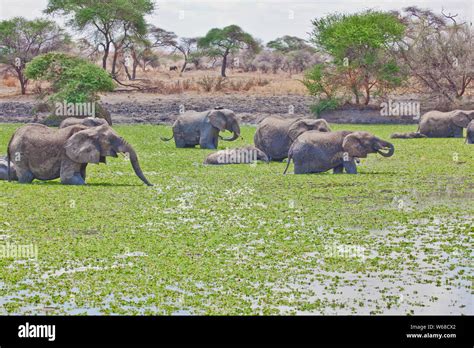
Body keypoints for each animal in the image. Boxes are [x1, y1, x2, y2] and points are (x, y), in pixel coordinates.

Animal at [6, 123, 154, 186]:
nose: (152, 185)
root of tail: (13, 134)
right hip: (19, 151)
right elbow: (68, 178)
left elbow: (81, 174)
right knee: (27, 176)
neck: (89, 129)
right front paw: (85, 184)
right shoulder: (67, 154)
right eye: (110, 140)